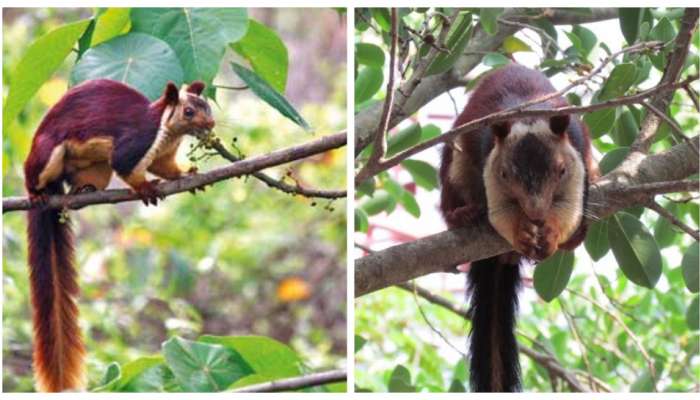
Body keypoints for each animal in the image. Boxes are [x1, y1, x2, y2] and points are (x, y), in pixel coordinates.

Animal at [23, 78, 215, 390]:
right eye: (188, 112)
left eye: (207, 106)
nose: (211, 123)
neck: (167, 131)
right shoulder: (137, 141)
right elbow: (126, 165)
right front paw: (145, 187)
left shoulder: (162, 155)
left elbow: (165, 168)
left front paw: (188, 173)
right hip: (47, 154)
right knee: (36, 172)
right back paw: (36, 192)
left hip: (95, 169)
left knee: (88, 179)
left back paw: (84, 191)